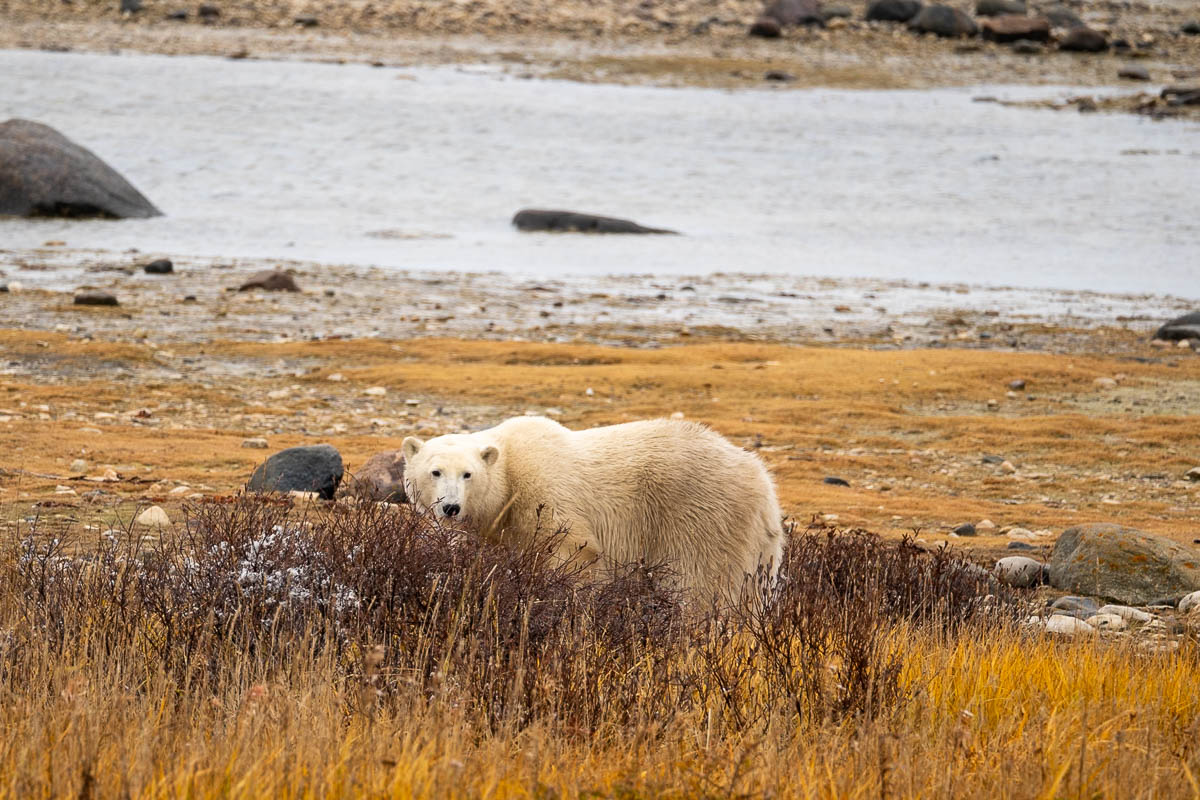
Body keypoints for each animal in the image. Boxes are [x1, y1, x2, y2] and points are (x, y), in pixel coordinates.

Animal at [403, 417, 787, 604]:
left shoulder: (543, 490)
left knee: (702, 585)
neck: (510, 468)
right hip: (757, 542)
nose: (451, 507)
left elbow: (575, 549)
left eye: (467, 474)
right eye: (435, 471)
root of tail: (761, 480)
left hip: (702, 515)